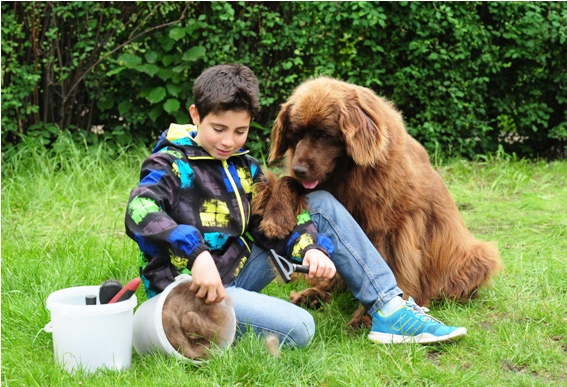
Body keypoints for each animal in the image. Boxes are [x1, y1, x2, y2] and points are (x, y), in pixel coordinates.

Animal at [260, 76, 504, 316]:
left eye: (325, 135)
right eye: (295, 134)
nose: (299, 169)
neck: (350, 175)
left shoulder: (392, 225)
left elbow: (389, 266)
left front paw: (368, 318)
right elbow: (286, 181)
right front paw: (276, 219)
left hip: (475, 257)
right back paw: (314, 294)